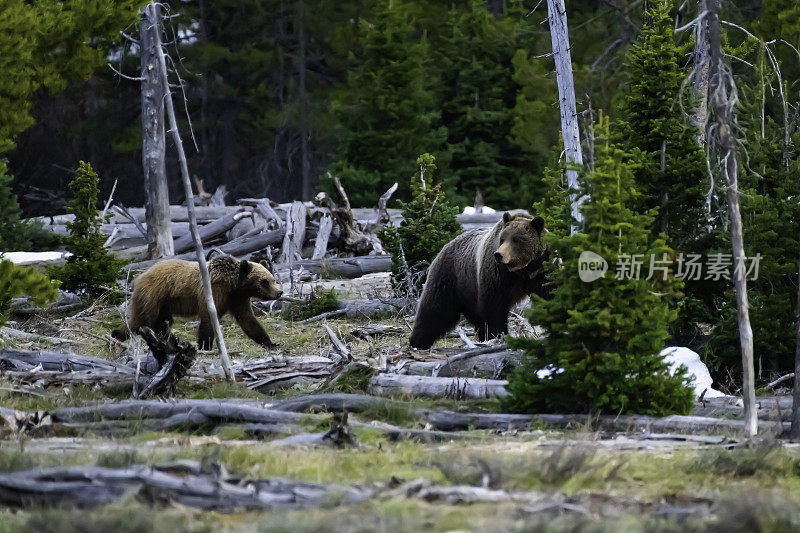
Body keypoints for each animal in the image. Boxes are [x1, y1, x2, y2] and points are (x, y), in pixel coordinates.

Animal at [114, 255, 282, 350]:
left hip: (160, 303)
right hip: (154, 296)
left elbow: (248, 320)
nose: (279, 292)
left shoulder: (237, 298)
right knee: (150, 321)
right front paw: (206, 346)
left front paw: (270, 342)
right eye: (264, 282)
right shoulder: (215, 290)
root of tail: (139, 277)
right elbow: (208, 318)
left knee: (141, 322)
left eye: (272, 279)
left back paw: (117, 335)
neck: (233, 285)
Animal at [412, 212, 552, 350]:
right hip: (450, 279)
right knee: (435, 311)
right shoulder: (497, 274)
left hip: (468, 292)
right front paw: (498, 335)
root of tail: (444, 247)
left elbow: (548, 295)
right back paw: (418, 343)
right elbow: (494, 306)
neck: (521, 270)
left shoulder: (540, 270)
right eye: (502, 239)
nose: (499, 254)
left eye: (517, 239)